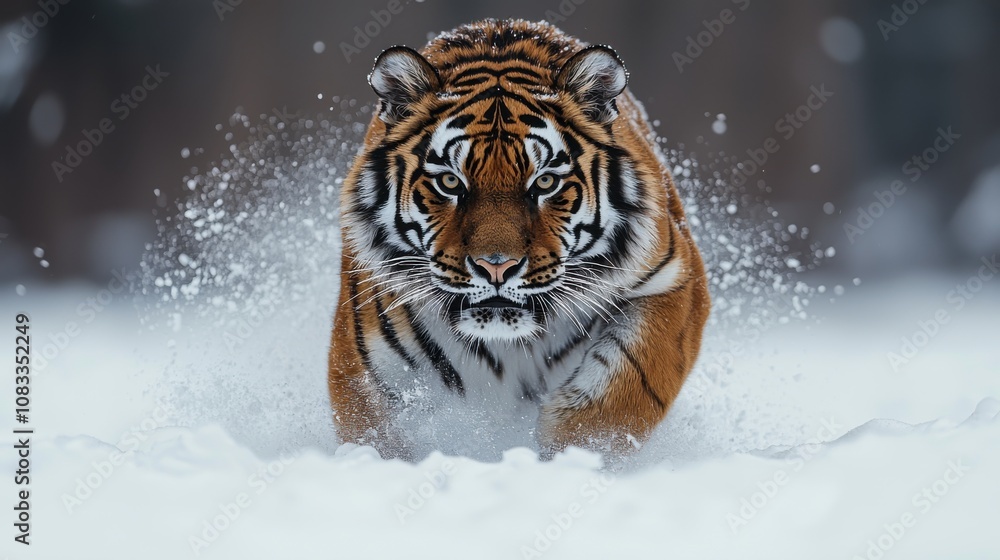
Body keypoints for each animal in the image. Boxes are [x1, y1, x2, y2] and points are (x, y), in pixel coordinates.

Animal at [328, 19, 710, 461]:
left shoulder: (674, 281)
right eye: (450, 182)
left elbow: (622, 391)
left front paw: (570, 450)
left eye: (544, 182)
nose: (497, 267)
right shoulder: (362, 365)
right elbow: (376, 433)